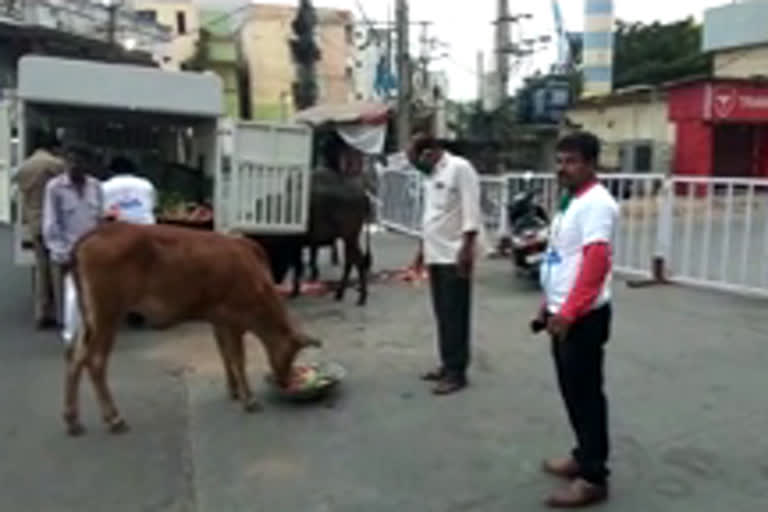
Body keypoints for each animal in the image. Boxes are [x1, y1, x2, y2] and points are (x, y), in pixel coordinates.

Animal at [62, 223, 320, 436]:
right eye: (292, 353)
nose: (285, 381)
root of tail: (94, 232)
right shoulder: (234, 320)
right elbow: (238, 359)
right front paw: (249, 399)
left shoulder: (218, 320)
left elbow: (225, 355)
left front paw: (234, 390)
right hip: (108, 314)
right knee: (95, 361)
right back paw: (113, 418)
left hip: (89, 318)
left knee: (75, 357)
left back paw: (72, 419)